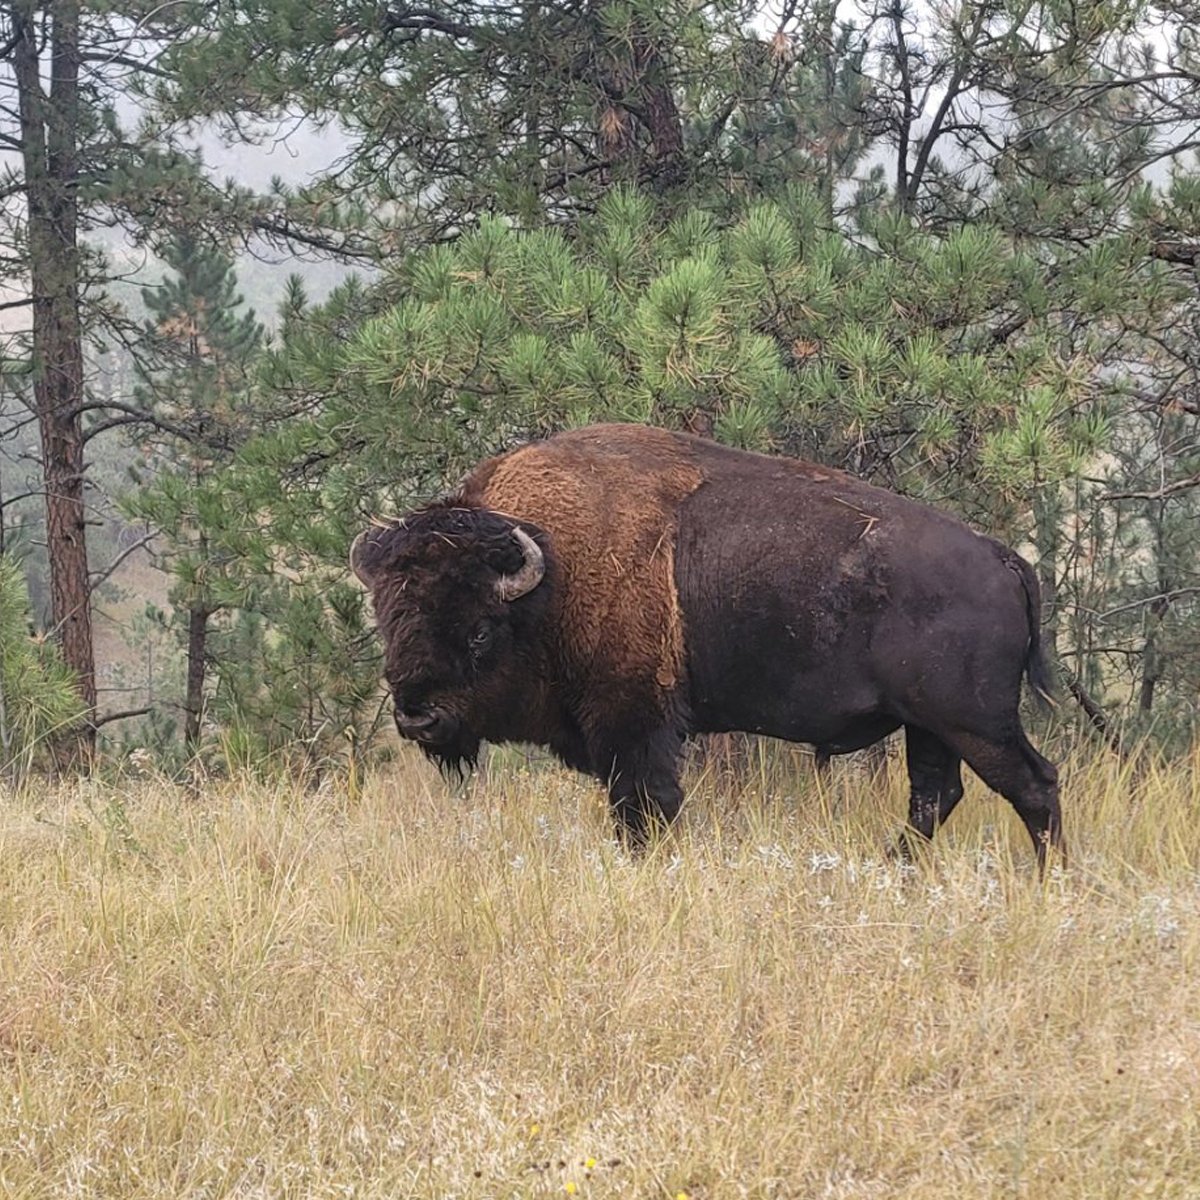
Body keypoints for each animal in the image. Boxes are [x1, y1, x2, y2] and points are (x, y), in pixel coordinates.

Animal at [350, 420, 1060, 864]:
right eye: (388, 620)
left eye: (478, 629)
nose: (417, 718)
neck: (552, 574)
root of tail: (1003, 558)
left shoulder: (635, 726)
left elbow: (646, 811)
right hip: (929, 725)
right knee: (934, 796)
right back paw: (896, 871)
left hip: (974, 722)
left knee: (1032, 785)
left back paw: (1046, 882)